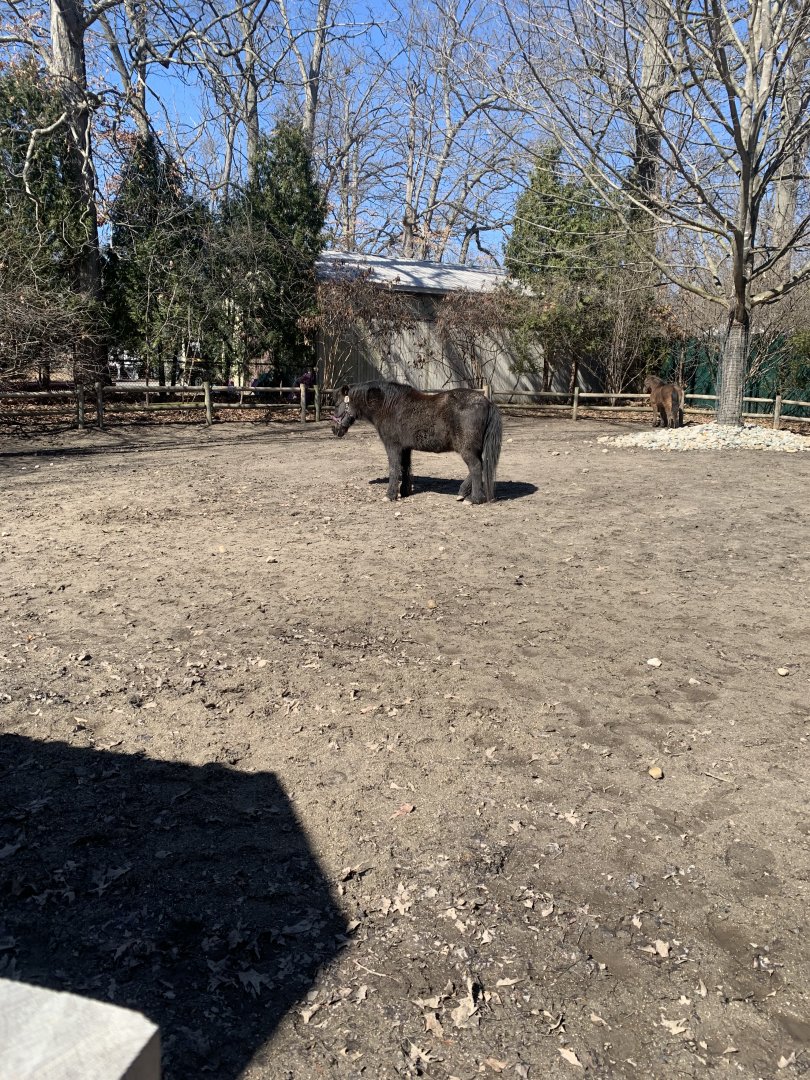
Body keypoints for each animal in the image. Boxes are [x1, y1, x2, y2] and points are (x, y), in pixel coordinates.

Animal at [331, 381, 502, 504]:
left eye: (336, 404)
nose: (335, 430)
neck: (388, 406)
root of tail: (487, 402)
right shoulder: (406, 448)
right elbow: (405, 468)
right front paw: (404, 491)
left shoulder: (393, 446)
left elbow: (394, 468)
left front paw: (390, 495)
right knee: (479, 466)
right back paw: (462, 493)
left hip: (467, 449)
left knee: (476, 467)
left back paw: (473, 499)